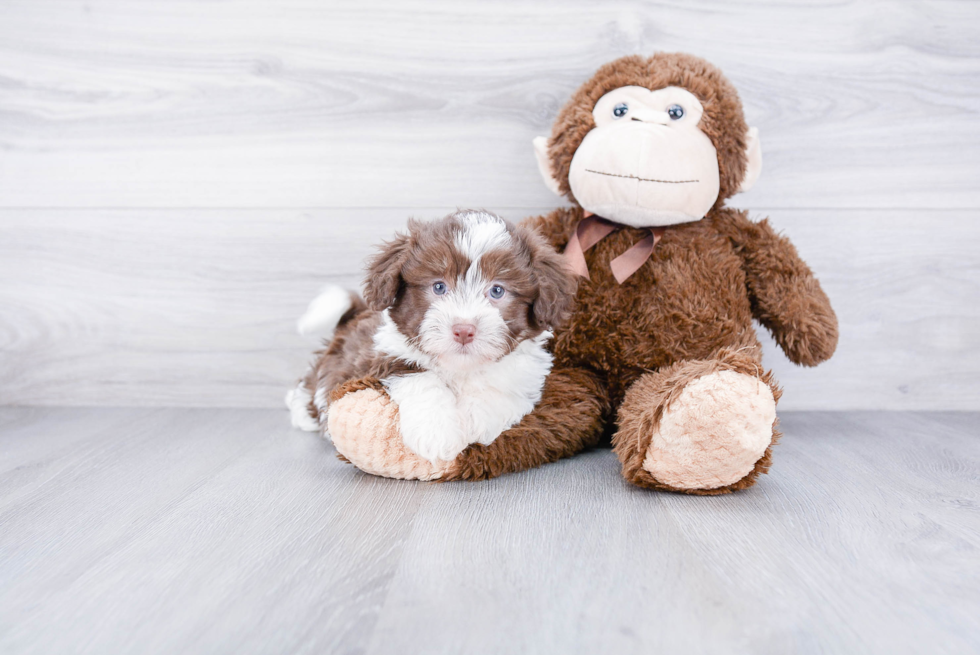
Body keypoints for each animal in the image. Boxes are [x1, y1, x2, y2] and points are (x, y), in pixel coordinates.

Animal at [286, 210, 576, 462]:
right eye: (438, 286)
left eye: (497, 291)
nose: (464, 330)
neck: (459, 369)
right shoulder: (388, 356)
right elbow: (422, 380)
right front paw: (437, 435)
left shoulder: (524, 371)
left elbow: (498, 386)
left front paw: (477, 421)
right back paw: (302, 411)